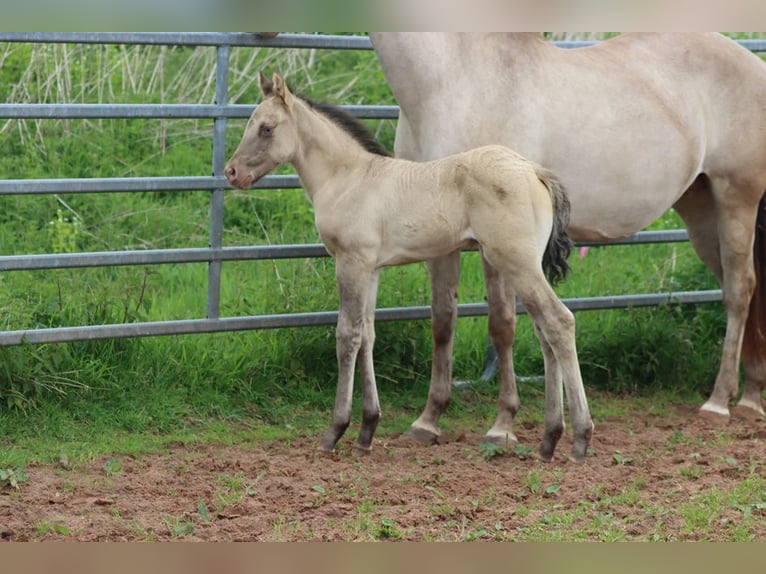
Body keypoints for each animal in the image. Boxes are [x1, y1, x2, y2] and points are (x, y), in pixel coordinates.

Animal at [225, 72, 594, 461]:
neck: (349, 178)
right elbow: (367, 335)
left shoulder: (351, 263)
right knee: (544, 331)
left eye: (266, 128)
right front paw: (367, 428)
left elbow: (346, 336)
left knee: (559, 322)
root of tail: (534, 171)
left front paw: (335, 431)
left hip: (515, 262)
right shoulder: (370, 269)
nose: (232, 172)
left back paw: (580, 438)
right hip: (522, 266)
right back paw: (549, 439)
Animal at [369, 32, 766, 447]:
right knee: (743, 289)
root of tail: (754, 65)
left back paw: (719, 403)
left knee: (739, 291)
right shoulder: (439, 237)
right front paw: (427, 420)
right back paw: (751, 397)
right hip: (701, 211)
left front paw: (502, 425)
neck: (451, 79)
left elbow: (501, 324)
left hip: (736, 198)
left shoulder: (496, 239)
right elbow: (443, 321)